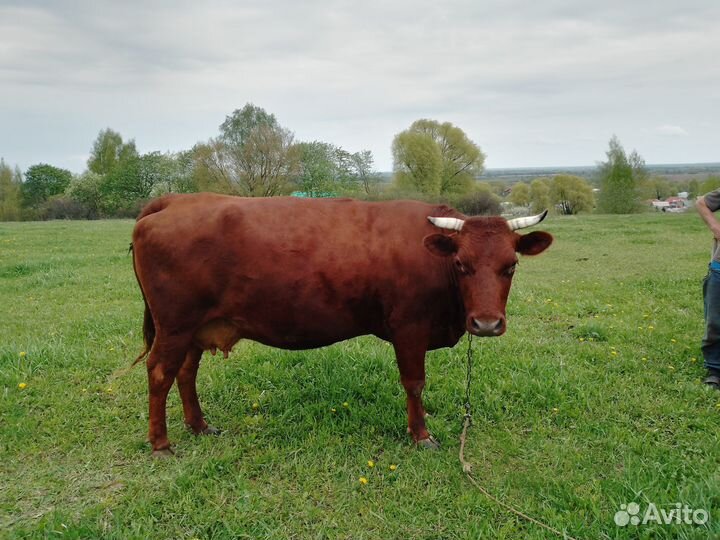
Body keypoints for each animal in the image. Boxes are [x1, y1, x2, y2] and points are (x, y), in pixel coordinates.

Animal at [131, 193, 553, 456]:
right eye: (462, 264)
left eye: (510, 265)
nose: (486, 323)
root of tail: (176, 200)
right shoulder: (409, 327)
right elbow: (414, 384)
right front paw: (421, 435)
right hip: (175, 326)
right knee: (160, 373)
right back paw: (161, 444)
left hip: (195, 329)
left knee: (185, 373)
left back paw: (199, 426)